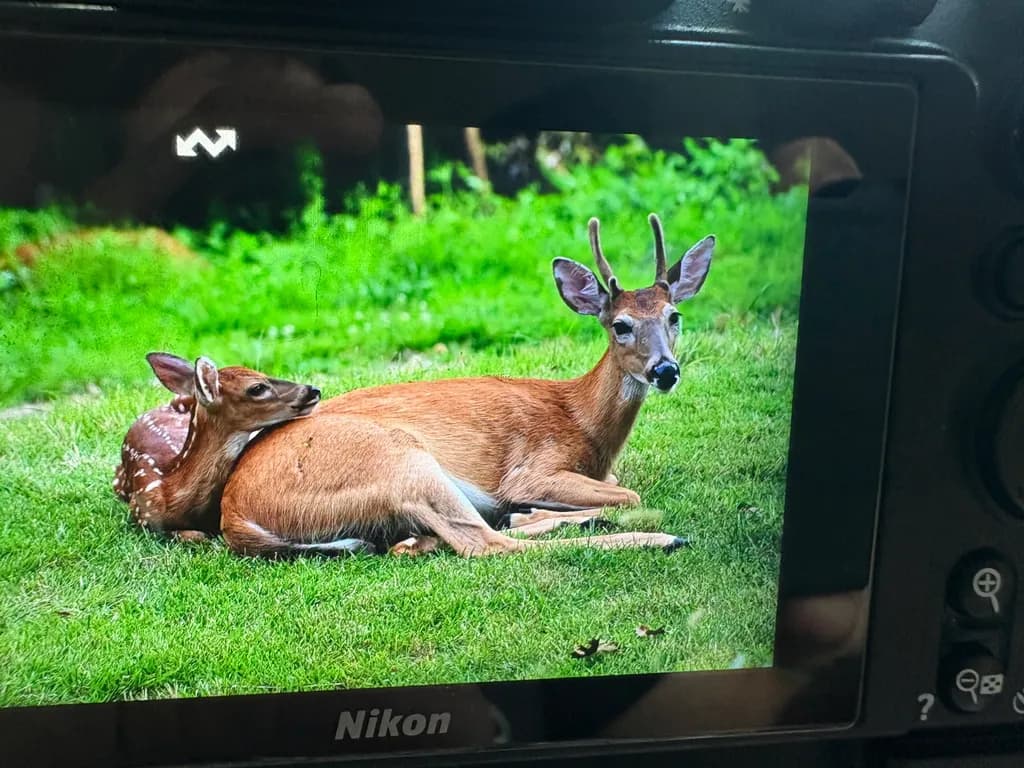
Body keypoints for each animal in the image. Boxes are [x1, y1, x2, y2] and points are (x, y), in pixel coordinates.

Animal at [218, 213, 714, 557]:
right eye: (620, 325)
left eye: (674, 316)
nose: (665, 370)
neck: (583, 421)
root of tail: (233, 511)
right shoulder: (534, 468)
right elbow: (629, 492)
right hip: (400, 461)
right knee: (486, 543)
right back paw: (660, 538)